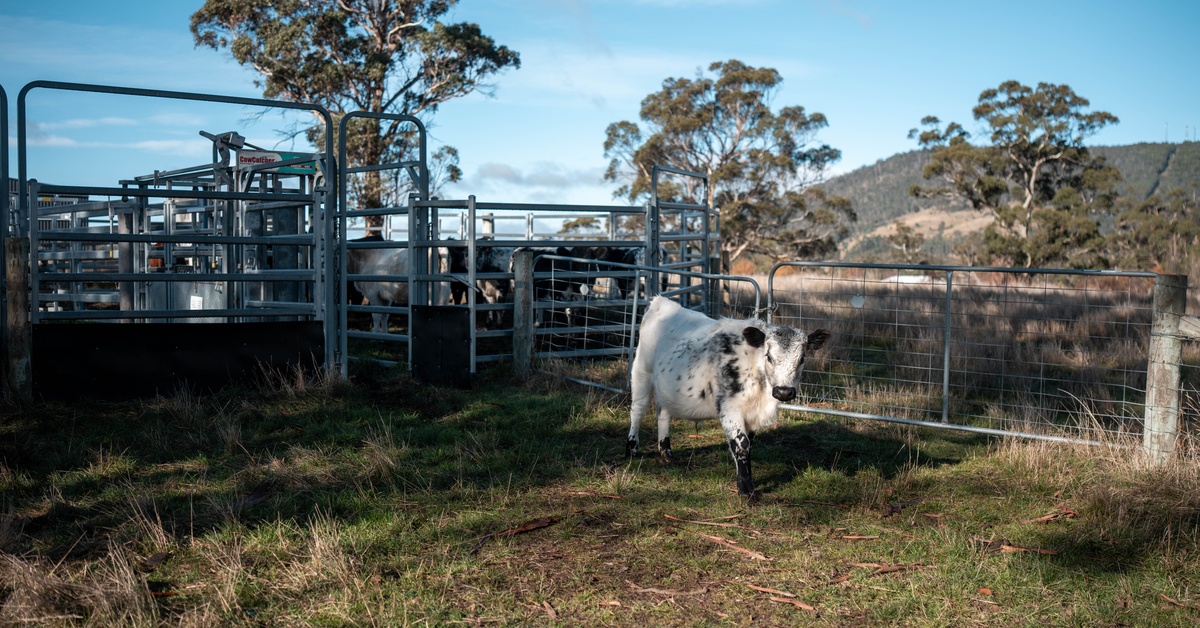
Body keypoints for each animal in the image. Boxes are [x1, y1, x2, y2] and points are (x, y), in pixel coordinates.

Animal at [626, 296, 830, 498]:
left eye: (802, 358)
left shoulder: (752, 414)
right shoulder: (729, 408)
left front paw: (747, 483)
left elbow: (748, 446)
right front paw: (745, 490)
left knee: (663, 413)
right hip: (641, 372)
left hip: (665, 387)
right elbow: (741, 444)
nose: (784, 391)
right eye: (769, 356)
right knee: (638, 410)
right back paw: (632, 449)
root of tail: (661, 301)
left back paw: (666, 452)